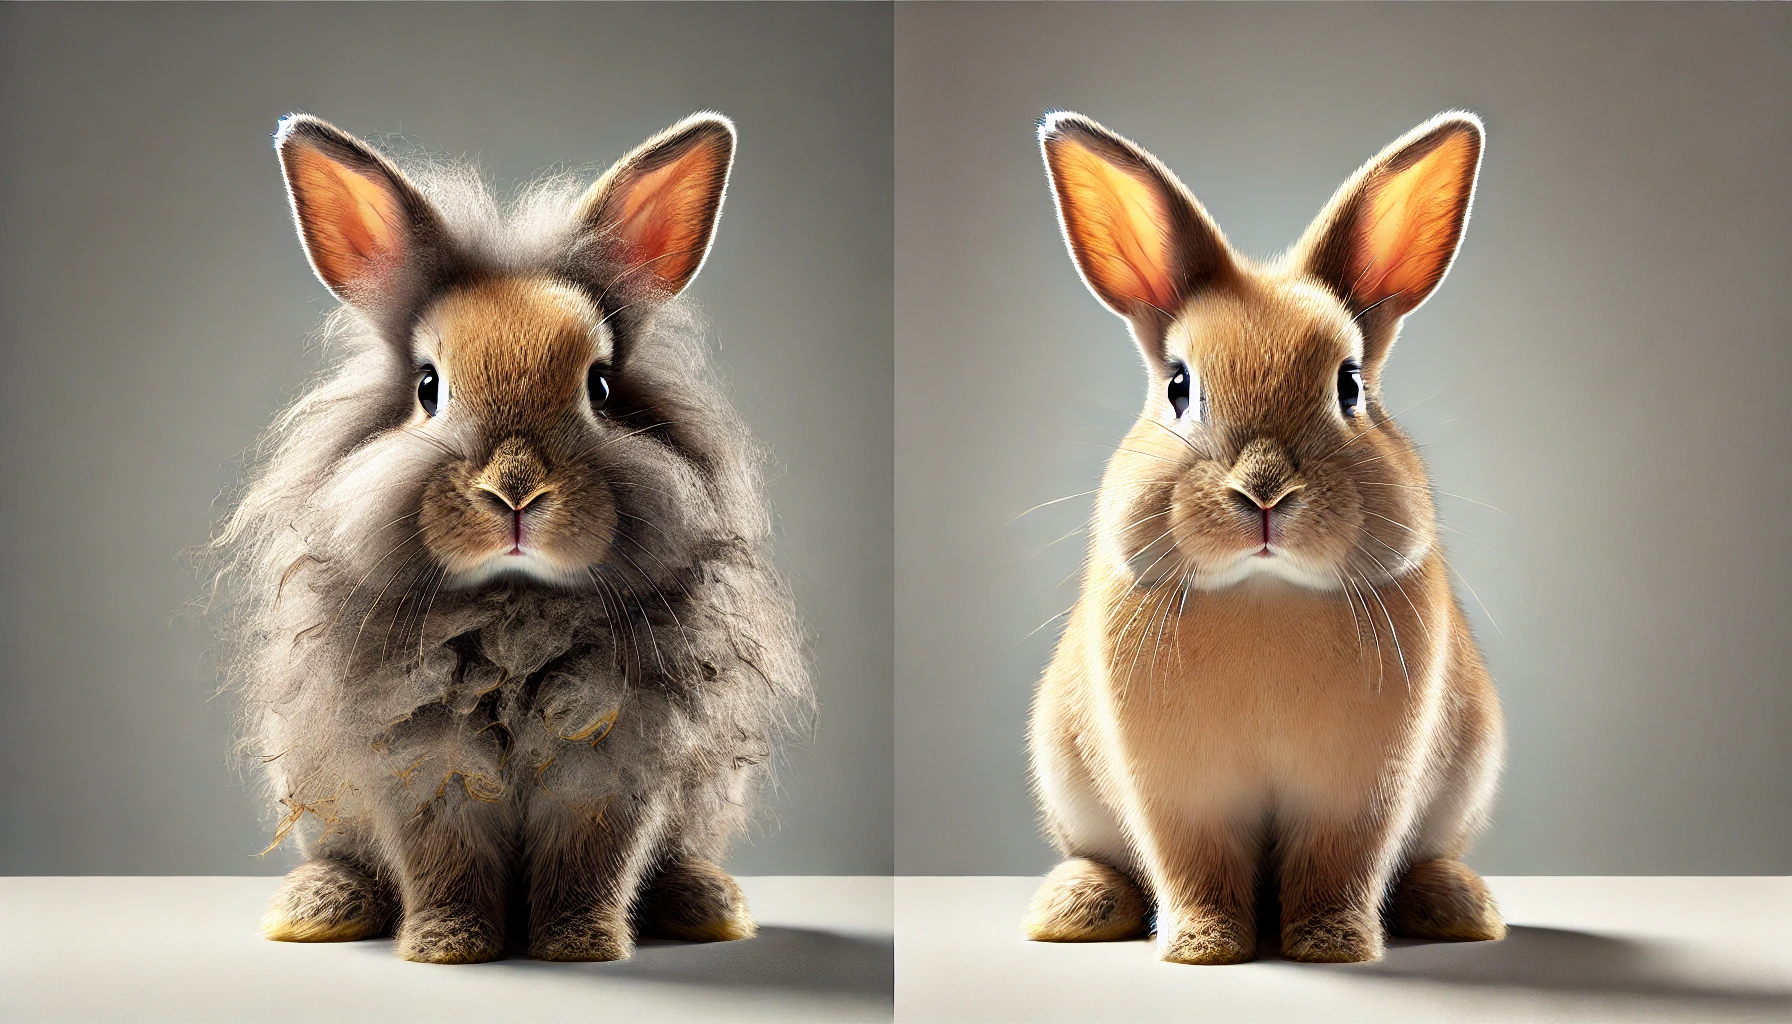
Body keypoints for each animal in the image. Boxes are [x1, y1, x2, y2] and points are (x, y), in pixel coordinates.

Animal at [208, 112, 810, 964]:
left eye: (600, 387)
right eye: (428, 387)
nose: (516, 491)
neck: (516, 609)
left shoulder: (612, 770)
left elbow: (592, 866)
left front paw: (581, 945)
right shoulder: (426, 770)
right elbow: (446, 867)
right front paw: (448, 946)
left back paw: (705, 904)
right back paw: (316, 908)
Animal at [1023, 111, 1506, 964]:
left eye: (1350, 385)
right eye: (1179, 387)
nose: (1265, 492)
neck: (1264, 592)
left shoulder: (1358, 794)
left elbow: (1339, 867)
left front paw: (1331, 945)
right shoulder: (1181, 798)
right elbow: (1196, 868)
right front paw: (1204, 948)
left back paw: (1456, 908)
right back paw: (1075, 909)